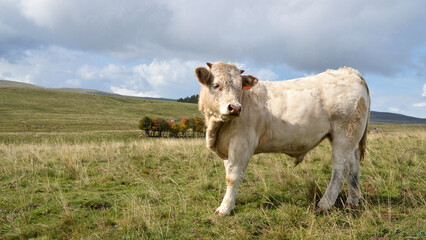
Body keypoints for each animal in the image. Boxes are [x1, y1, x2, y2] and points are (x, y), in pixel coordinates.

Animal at [196, 61, 370, 216]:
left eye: (239, 88)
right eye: (216, 85)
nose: (235, 108)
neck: (216, 129)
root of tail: (350, 71)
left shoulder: (241, 144)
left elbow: (232, 177)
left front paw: (224, 209)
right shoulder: (227, 147)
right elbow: (229, 173)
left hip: (344, 135)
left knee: (340, 170)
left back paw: (324, 204)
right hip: (350, 139)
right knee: (354, 167)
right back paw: (352, 201)